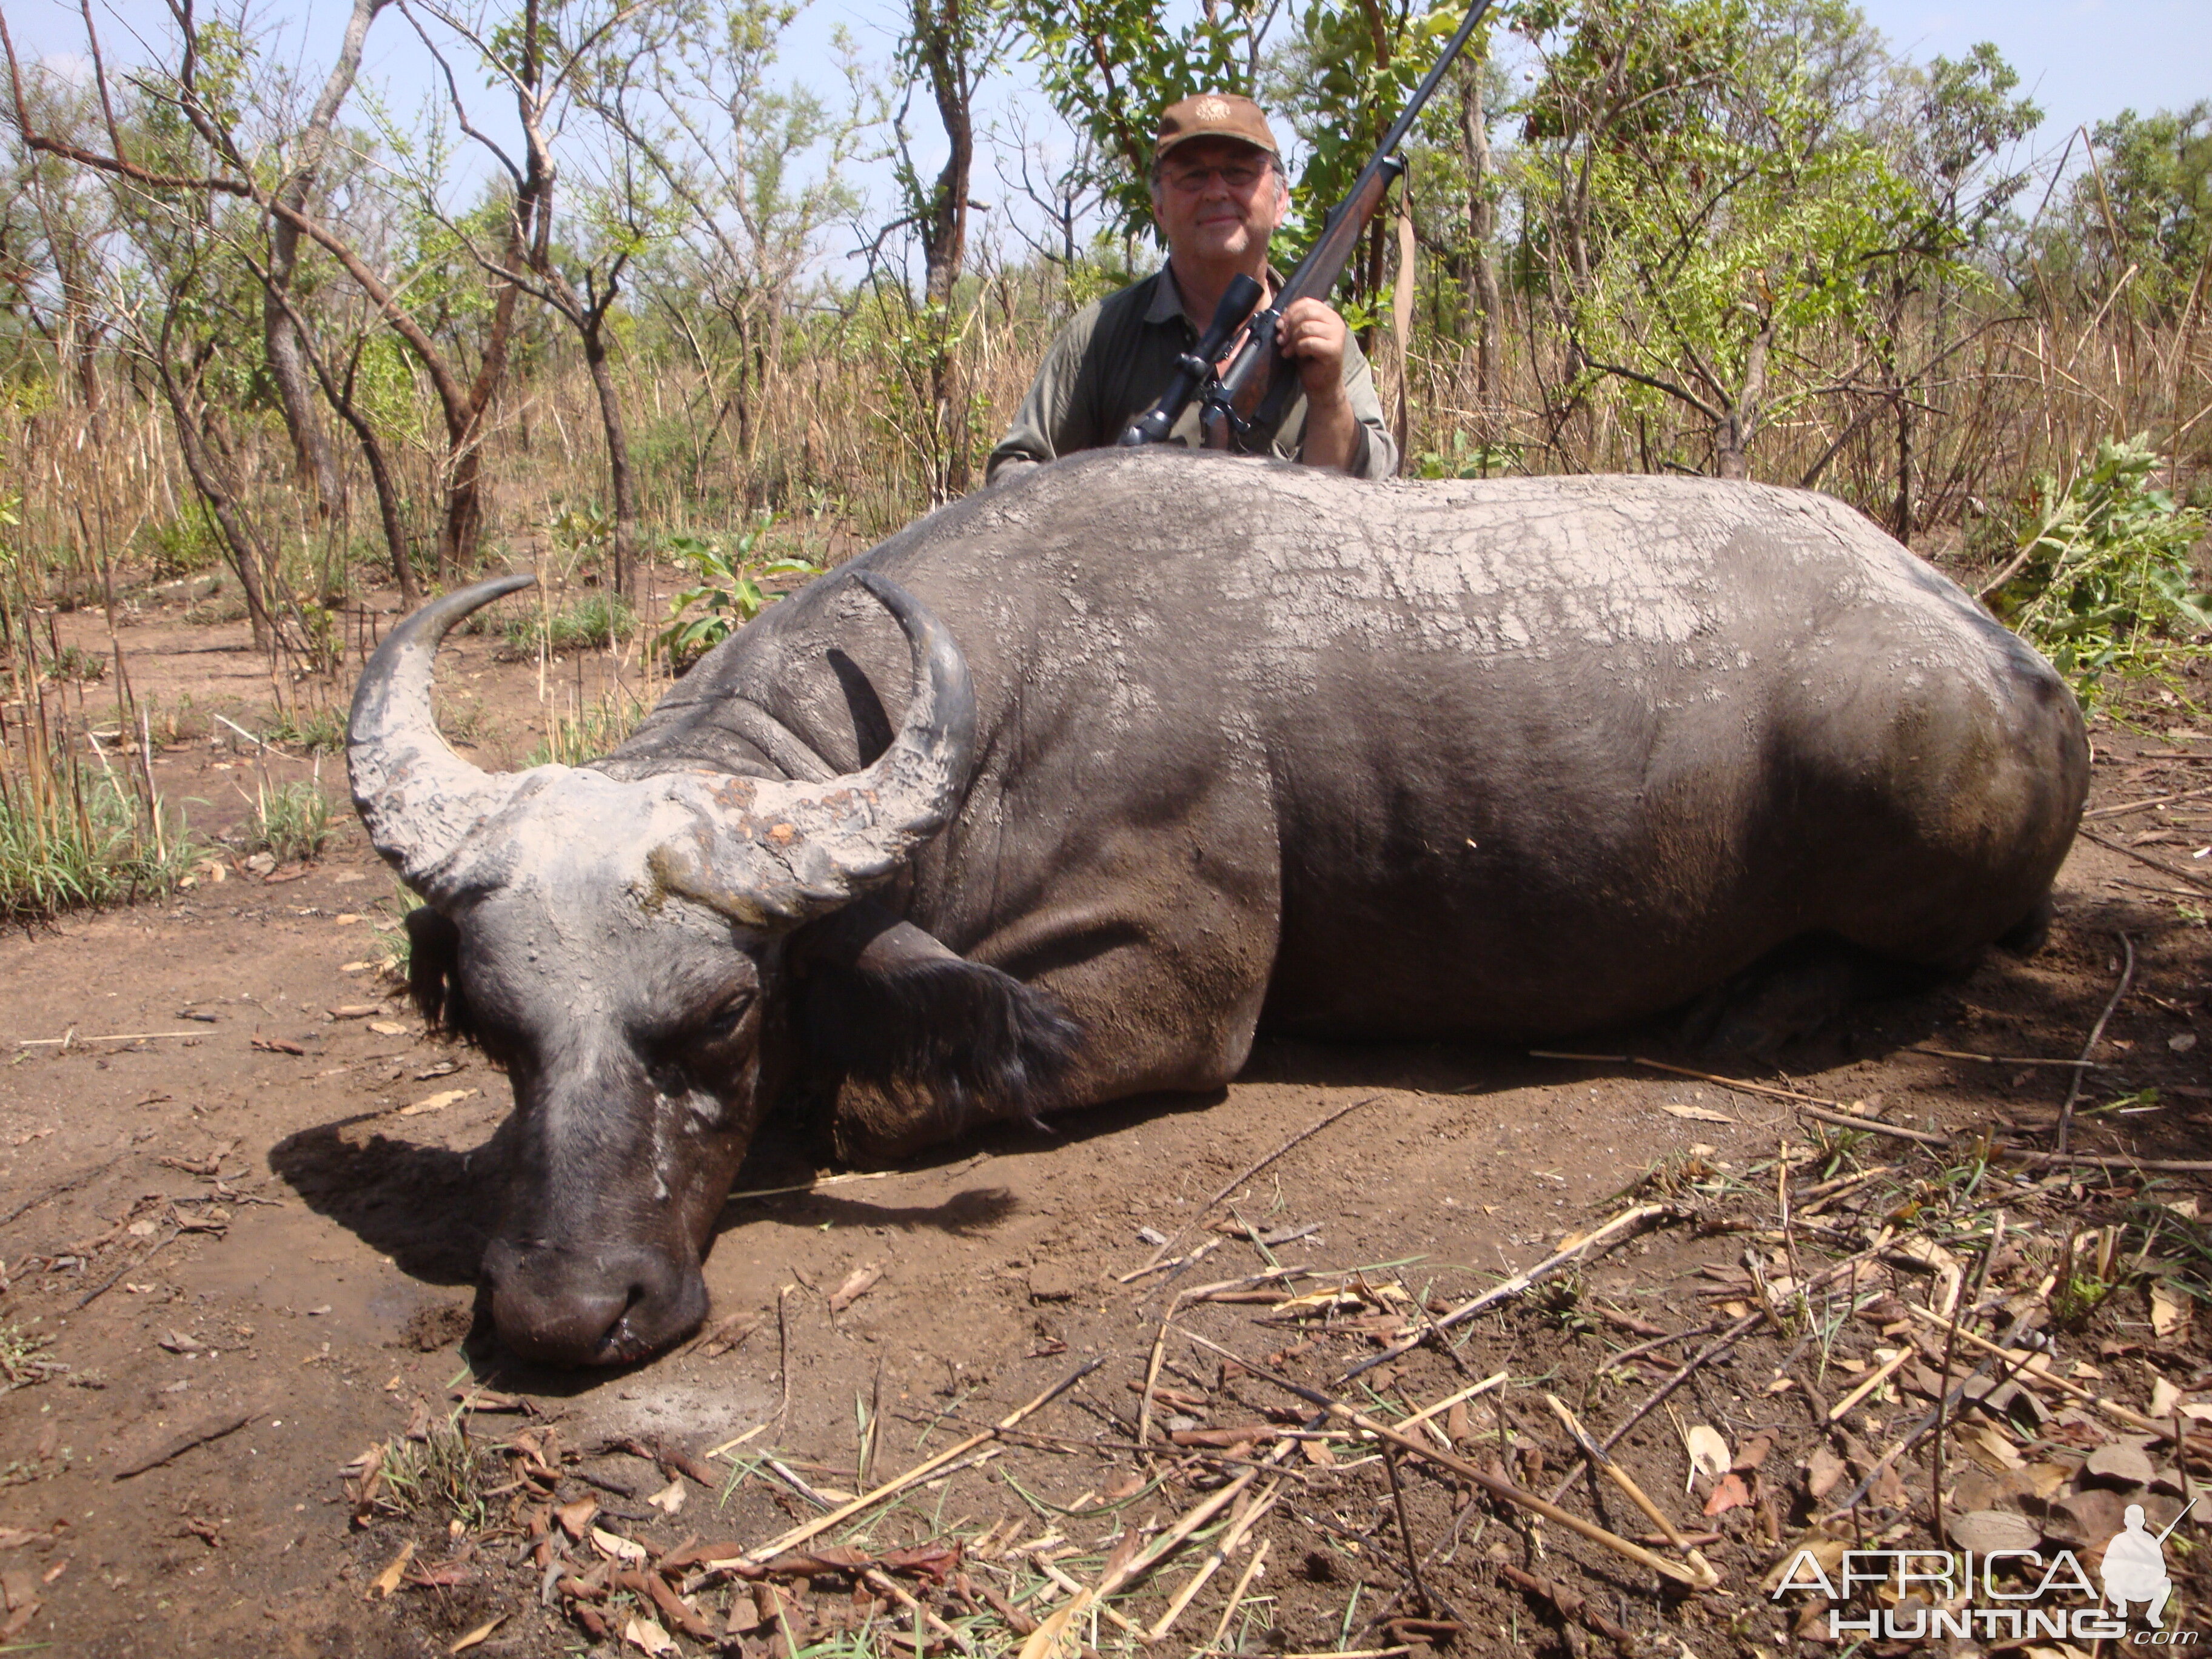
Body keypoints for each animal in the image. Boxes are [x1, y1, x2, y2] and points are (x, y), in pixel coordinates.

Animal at [349, 449, 2088, 1371]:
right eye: (496, 1027)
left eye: (717, 1013)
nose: (563, 1313)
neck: (988, 695)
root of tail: (2005, 655)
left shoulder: (1176, 998)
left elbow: (875, 1103)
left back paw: (1762, 1005)